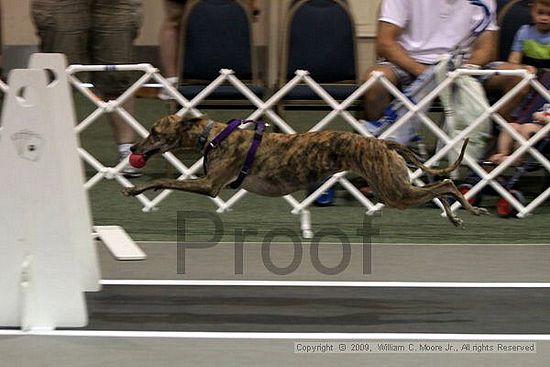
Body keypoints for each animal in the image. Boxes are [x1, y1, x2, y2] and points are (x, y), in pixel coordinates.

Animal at [123, 115, 490, 227]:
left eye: (154, 131)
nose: (134, 151)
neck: (212, 135)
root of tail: (383, 143)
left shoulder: (211, 185)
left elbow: (166, 179)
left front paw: (135, 189)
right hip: (396, 187)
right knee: (439, 187)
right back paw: (455, 215)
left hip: (393, 191)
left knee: (446, 183)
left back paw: (470, 208)